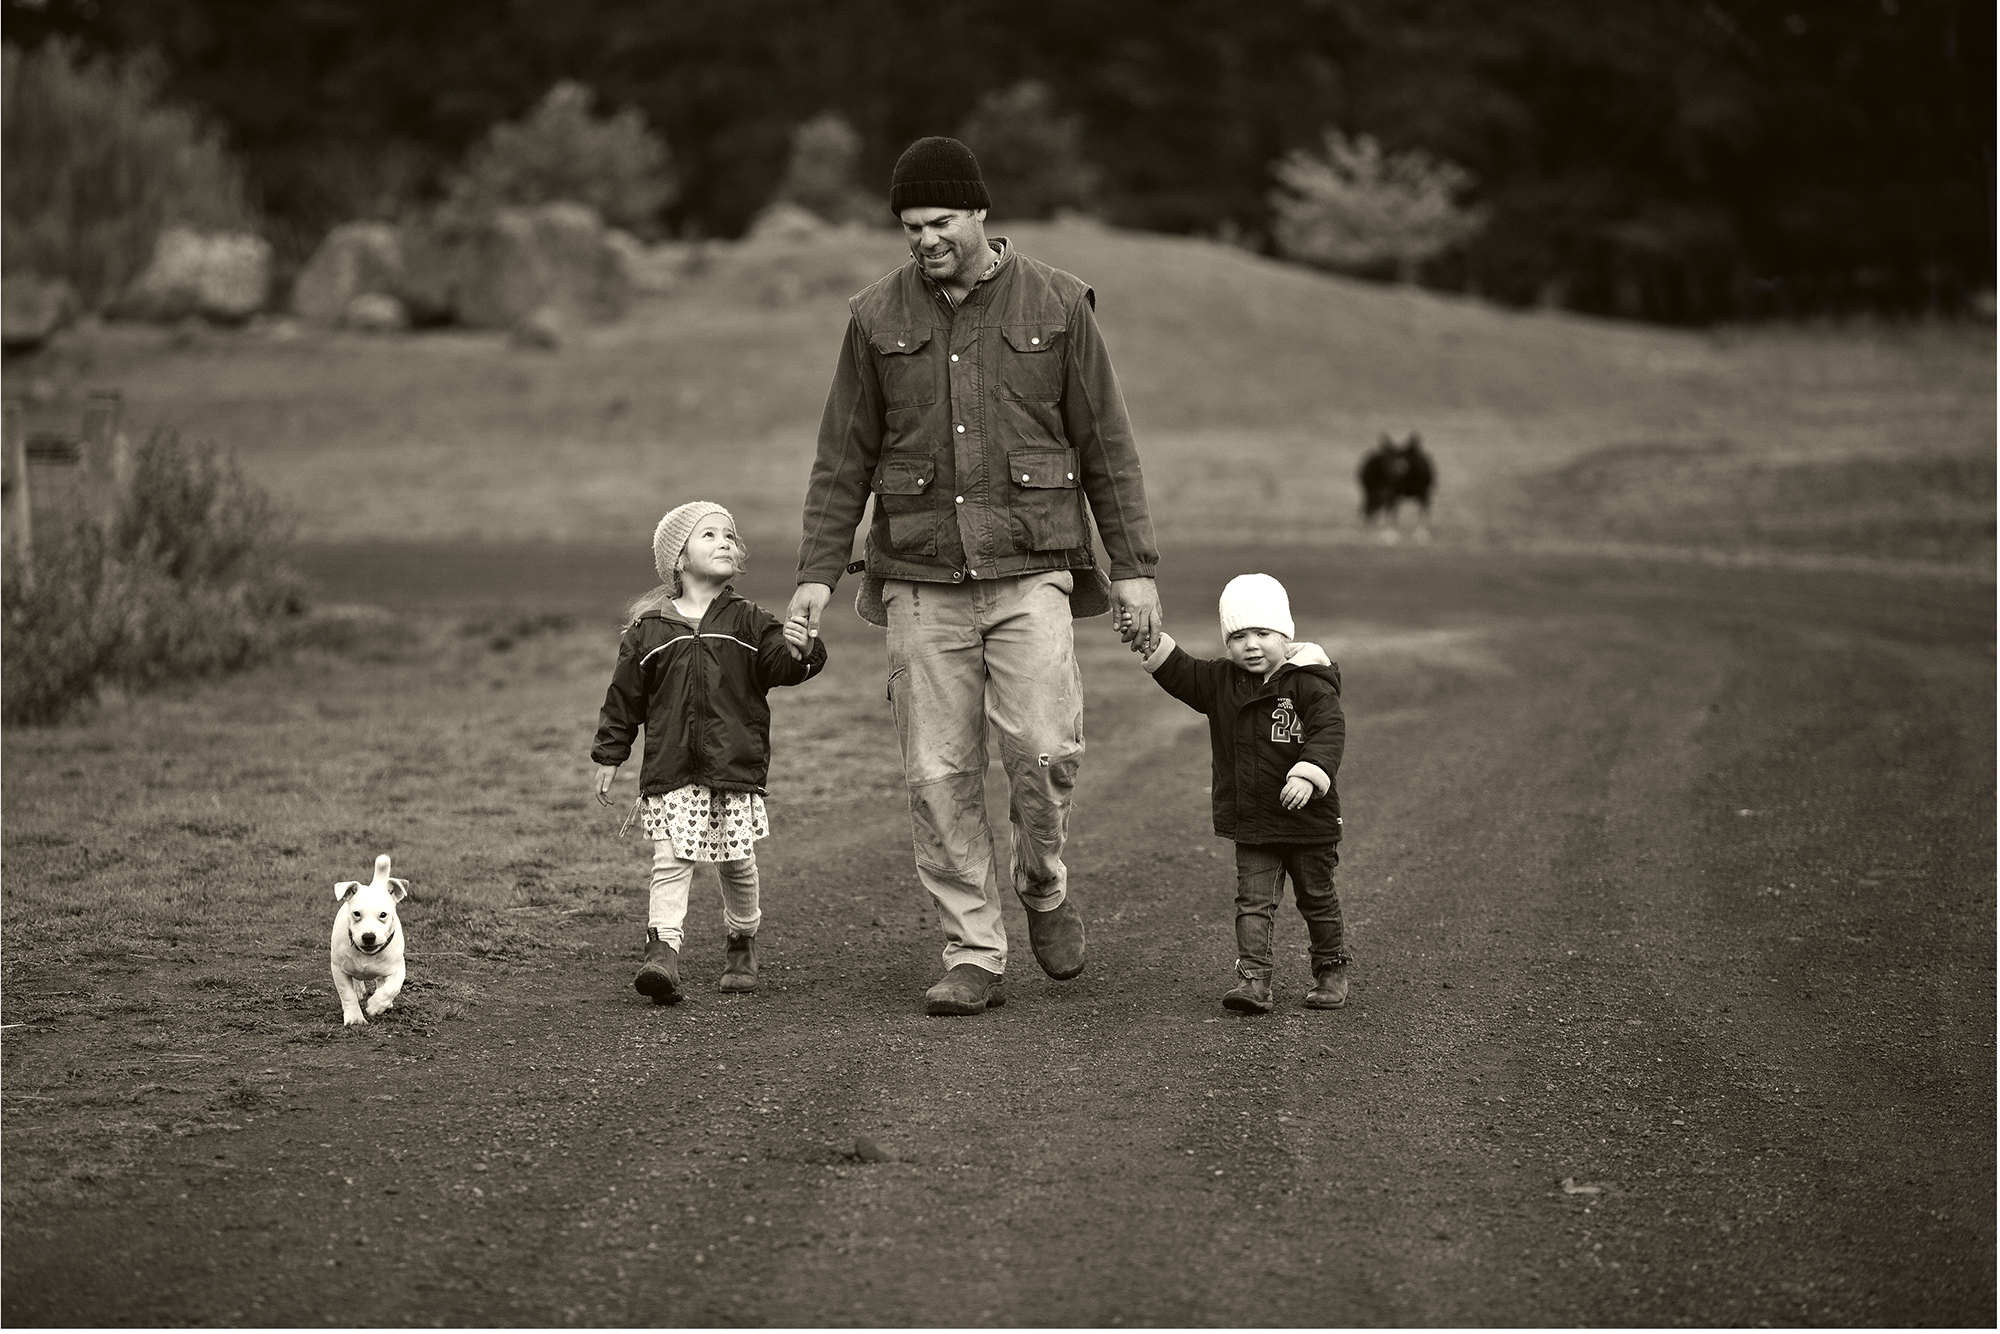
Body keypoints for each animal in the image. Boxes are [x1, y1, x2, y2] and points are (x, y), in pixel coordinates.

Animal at [330, 852, 408, 1032]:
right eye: (356, 913)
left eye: (383, 915)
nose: (368, 937)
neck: (367, 954)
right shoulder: (338, 969)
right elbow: (347, 994)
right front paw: (355, 1018)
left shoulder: (398, 968)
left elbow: (392, 987)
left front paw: (376, 1005)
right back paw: (359, 989)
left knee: (381, 981)